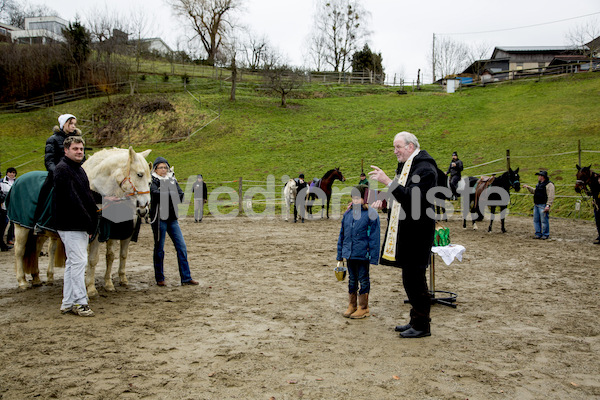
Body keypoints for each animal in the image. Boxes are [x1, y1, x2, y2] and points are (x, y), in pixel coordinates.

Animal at [8, 147, 151, 290]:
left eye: (150, 181)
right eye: (139, 174)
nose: (144, 208)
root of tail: (19, 180)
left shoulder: (116, 234)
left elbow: (114, 256)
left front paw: (111, 282)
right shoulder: (96, 233)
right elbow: (92, 259)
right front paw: (91, 287)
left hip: (41, 232)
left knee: (38, 250)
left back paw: (38, 278)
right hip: (21, 227)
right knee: (19, 251)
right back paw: (22, 281)